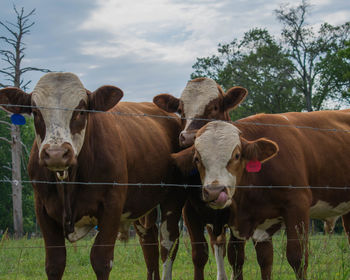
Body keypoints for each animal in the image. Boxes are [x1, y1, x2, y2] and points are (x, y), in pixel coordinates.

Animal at [0, 72, 186, 280]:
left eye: (81, 111)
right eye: (36, 112)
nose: (56, 153)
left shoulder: (112, 206)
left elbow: (101, 260)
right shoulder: (42, 209)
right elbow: (55, 263)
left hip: (173, 199)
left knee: (167, 245)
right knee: (149, 244)